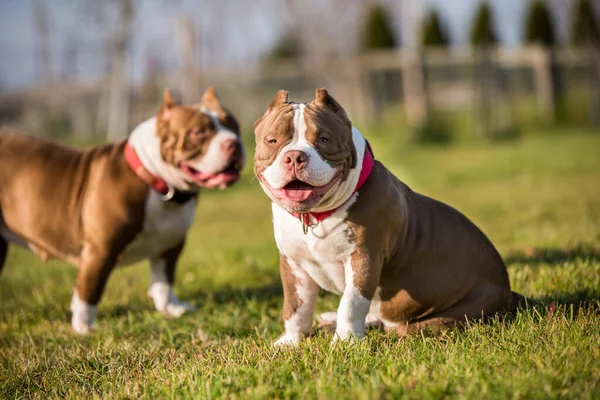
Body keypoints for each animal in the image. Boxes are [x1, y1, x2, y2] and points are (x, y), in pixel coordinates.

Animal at [0, 87, 244, 334]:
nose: (233, 143)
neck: (157, 183)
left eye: (234, 126)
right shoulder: (100, 251)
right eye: (198, 132)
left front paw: (171, 308)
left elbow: (164, 279)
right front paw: (85, 325)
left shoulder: (171, 245)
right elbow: (90, 288)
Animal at [255, 89, 528, 346]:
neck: (315, 216)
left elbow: (351, 304)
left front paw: (345, 342)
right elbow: (295, 307)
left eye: (324, 139)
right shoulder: (294, 265)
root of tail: (508, 292)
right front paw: (290, 341)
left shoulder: (364, 258)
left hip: (456, 313)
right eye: (272, 140)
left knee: (402, 329)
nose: (294, 156)